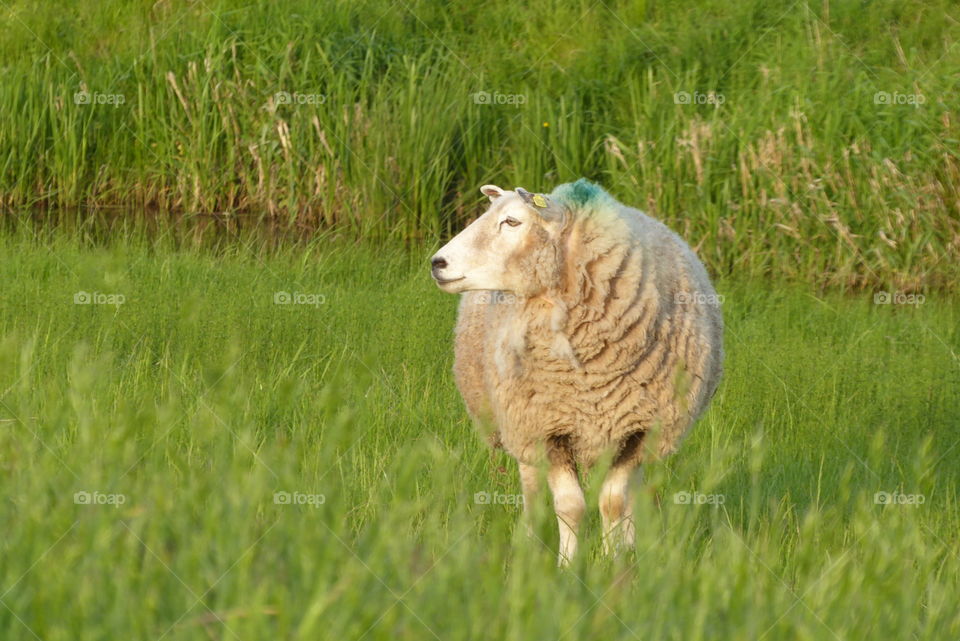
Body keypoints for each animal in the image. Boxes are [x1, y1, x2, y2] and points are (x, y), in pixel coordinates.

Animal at [430, 179, 723, 565]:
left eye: (512, 222)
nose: (437, 263)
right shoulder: (549, 427)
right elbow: (570, 506)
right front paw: (567, 566)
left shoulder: (639, 428)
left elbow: (613, 502)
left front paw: (615, 562)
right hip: (518, 422)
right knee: (531, 485)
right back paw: (529, 541)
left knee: (631, 490)